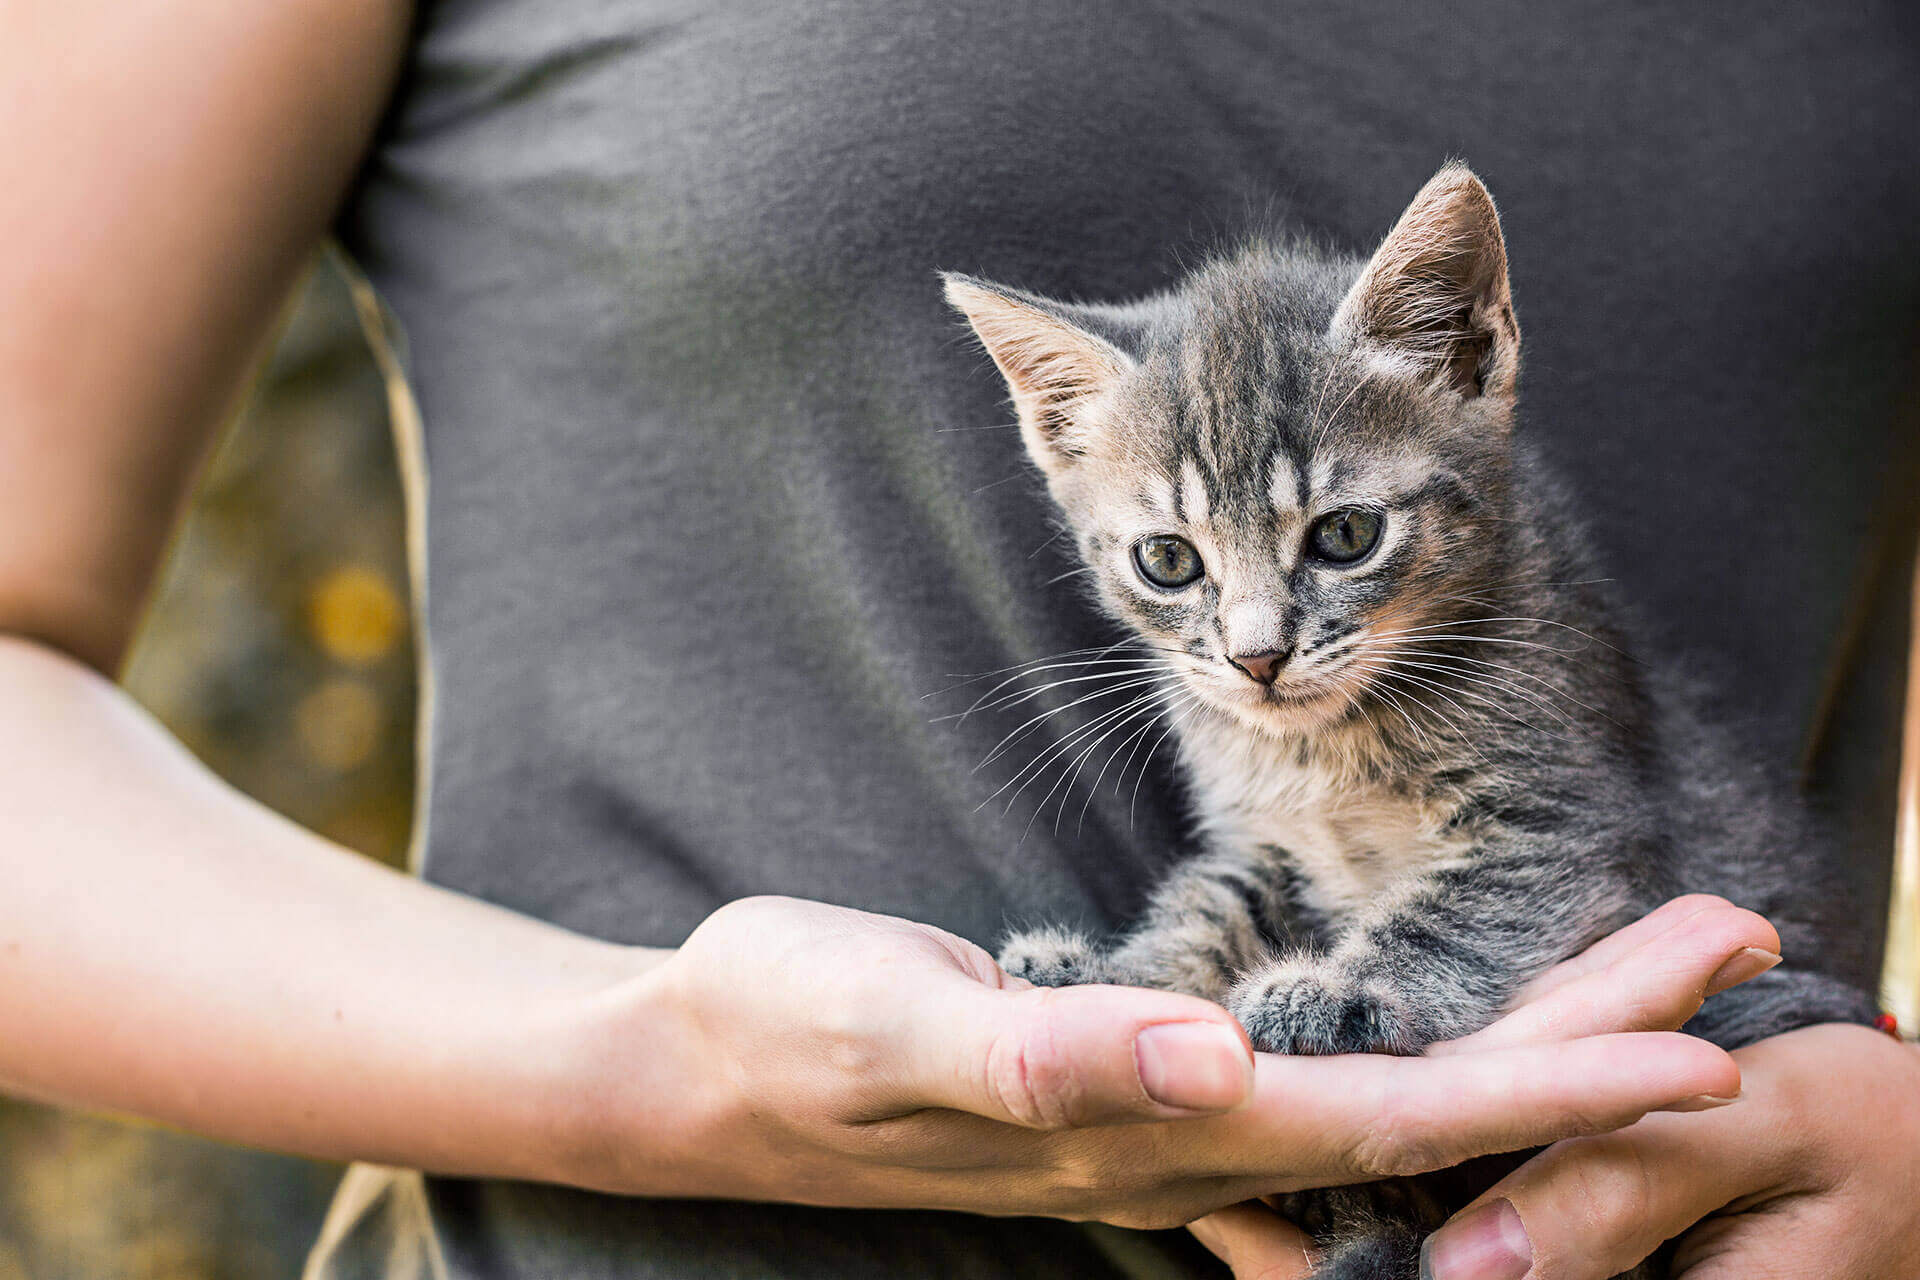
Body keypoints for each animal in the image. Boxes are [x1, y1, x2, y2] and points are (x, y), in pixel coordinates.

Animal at [944, 165, 1873, 1280]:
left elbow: (1453, 910)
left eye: (1346, 535)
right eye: (1167, 559)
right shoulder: (1264, 842)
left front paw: (1343, 993)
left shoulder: (1567, 816)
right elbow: (1211, 904)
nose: (1257, 657)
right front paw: (1121, 970)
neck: (1322, 748)